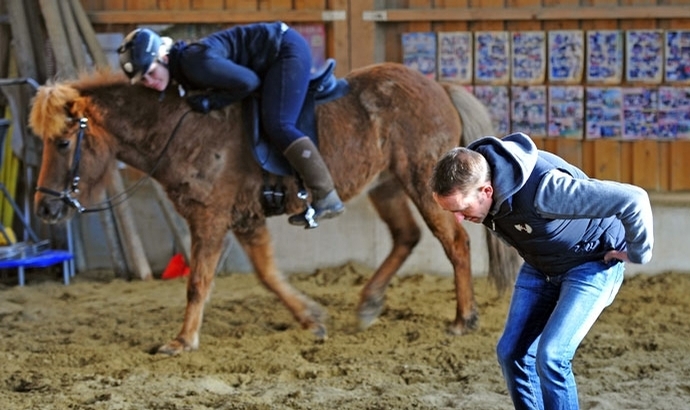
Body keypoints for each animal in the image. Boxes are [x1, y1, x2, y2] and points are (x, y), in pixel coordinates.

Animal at [29, 62, 520, 354]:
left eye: (64, 142)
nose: (46, 209)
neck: (183, 130)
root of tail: (437, 85)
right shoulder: (243, 219)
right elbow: (266, 275)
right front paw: (311, 319)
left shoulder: (210, 217)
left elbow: (199, 282)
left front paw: (182, 340)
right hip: (386, 186)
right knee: (406, 237)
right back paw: (369, 304)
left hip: (421, 182)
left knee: (454, 243)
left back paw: (463, 319)